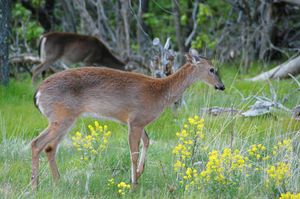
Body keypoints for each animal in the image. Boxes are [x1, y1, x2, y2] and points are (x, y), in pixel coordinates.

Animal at [31, 48, 225, 190]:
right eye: (212, 69)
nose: (221, 86)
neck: (160, 93)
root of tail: (38, 92)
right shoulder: (136, 121)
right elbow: (133, 153)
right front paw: (133, 184)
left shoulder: (137, 122)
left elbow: (147, 141)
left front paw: (139, 174)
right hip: (62, 117)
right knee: (36, 143)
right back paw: (35, 186)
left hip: (65, 120)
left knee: (50, 148)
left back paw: (58, 182)